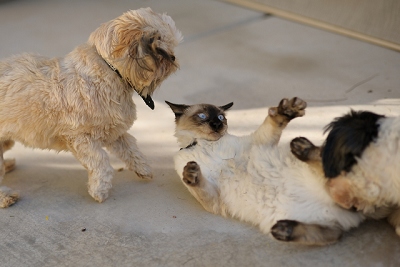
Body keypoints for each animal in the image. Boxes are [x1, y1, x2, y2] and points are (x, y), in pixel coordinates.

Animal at [0, 7, 183, 208]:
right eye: (162, 48)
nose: (173, 58)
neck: (110, 71)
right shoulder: (80, 139)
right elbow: (101, 162)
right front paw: (100, 190)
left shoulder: (114, 132)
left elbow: (131, 149)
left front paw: (143, 168)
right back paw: (5, 196)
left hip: (6, 140)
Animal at [166, 97, 366, 246]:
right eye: (202, 115)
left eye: (221, 118)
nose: (216, 124)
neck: (204, 144)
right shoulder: (215, 201)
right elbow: (198, 182)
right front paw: (191, 172)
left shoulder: (257, 142)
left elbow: (273, 122)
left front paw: (287, 110)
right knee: (334, 234)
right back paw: (285, 230)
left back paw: (303, 148)